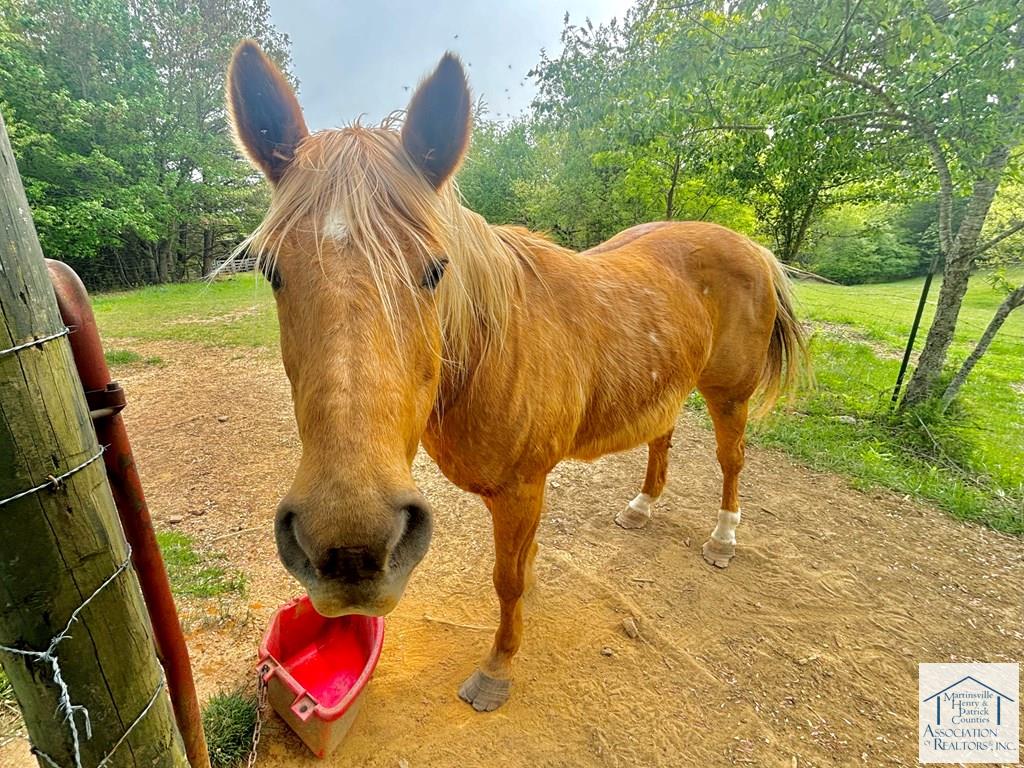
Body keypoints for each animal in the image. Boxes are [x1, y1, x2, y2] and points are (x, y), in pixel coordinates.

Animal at [225, 40, 807, 712]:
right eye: (270, 269)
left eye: (436, 270)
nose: (349, 549)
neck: (489, 352)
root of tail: (751, 247)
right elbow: (522, 567)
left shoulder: (523, 488)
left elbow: (507, 578)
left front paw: (498, 668)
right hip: (667, 383)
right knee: (660, 437)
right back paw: (641, 508)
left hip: (728, 395)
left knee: (731, 461)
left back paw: (723, 538)